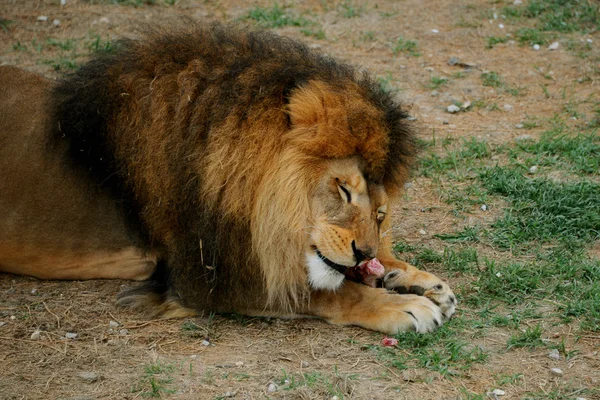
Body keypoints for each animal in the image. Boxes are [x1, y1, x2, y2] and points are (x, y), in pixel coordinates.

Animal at [0, 21, 454, 334]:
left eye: (380, 214)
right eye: (343, 190)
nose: (364, 254)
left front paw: (416, 280)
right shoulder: (205, 275)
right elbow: (325, 291)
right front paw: (402, 305)